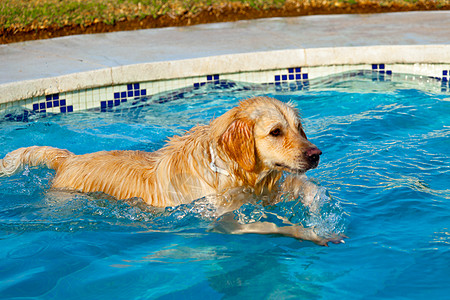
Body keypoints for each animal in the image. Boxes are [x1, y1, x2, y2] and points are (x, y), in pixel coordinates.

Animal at [0, 97, 344, 245]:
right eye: (275, 132)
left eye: (299, 128)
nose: (316, 155)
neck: (230, 170)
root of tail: (68, 158)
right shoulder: (223, 219)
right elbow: (271, 225)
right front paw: (309, 232)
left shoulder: (265, 191)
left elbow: (304, 187)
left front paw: (319, 209)